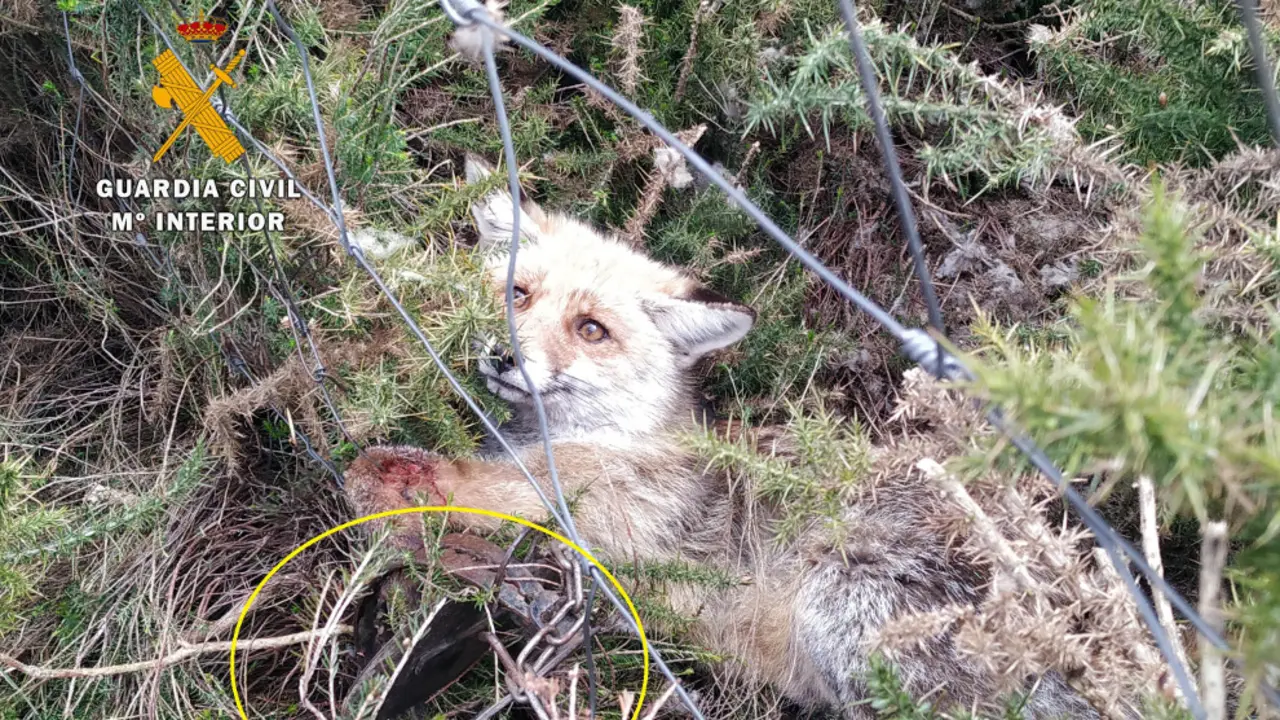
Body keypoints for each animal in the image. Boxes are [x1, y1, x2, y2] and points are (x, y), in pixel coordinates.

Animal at [343, 155, 1099, 718]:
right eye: (518, 293)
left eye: (592, 329)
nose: (503, 354)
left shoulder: (593, 507)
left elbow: (484, 491)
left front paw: (390, 482)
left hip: (836, 609)